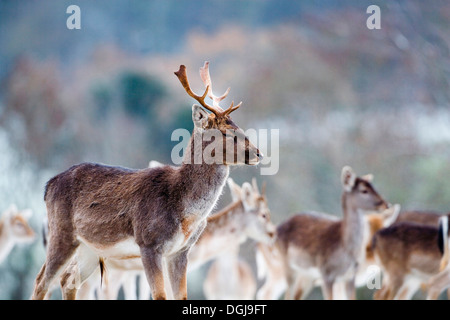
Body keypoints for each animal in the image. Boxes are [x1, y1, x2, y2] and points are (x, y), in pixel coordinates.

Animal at [30, 62, 264, 300]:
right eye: (226, 132)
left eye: (238, 127)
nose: (257, 153)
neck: (183, 209)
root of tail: (48, 186)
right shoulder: (149, 242)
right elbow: (159, 294)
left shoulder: (180, 250)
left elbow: (181, 296)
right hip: (61, 232)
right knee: (41, 281)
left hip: (90, 248)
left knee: (68, 280)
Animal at [274, 166, 386, 302]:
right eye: (364, 190)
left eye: (374, 187)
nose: (385, 204)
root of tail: (278, 228)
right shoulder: (326, 274)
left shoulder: (351, 276)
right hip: (288, 266)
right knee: (288, 294)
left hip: (306, 275)